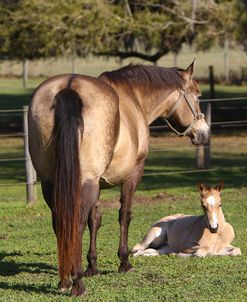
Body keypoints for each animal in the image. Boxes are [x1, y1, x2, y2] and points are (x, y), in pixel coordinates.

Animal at [29, 60, 210, 294]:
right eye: (197, 96)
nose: (204, 132)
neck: (134, 98)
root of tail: (68, 88)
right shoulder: (133, 174)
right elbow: (124, 215)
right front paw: (124, 262)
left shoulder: (96, 184)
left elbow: (95, 220)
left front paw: (92, 266)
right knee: (76, 223)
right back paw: (77, 282)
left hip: (52, 184)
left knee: (61, 222)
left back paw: (65, 280)